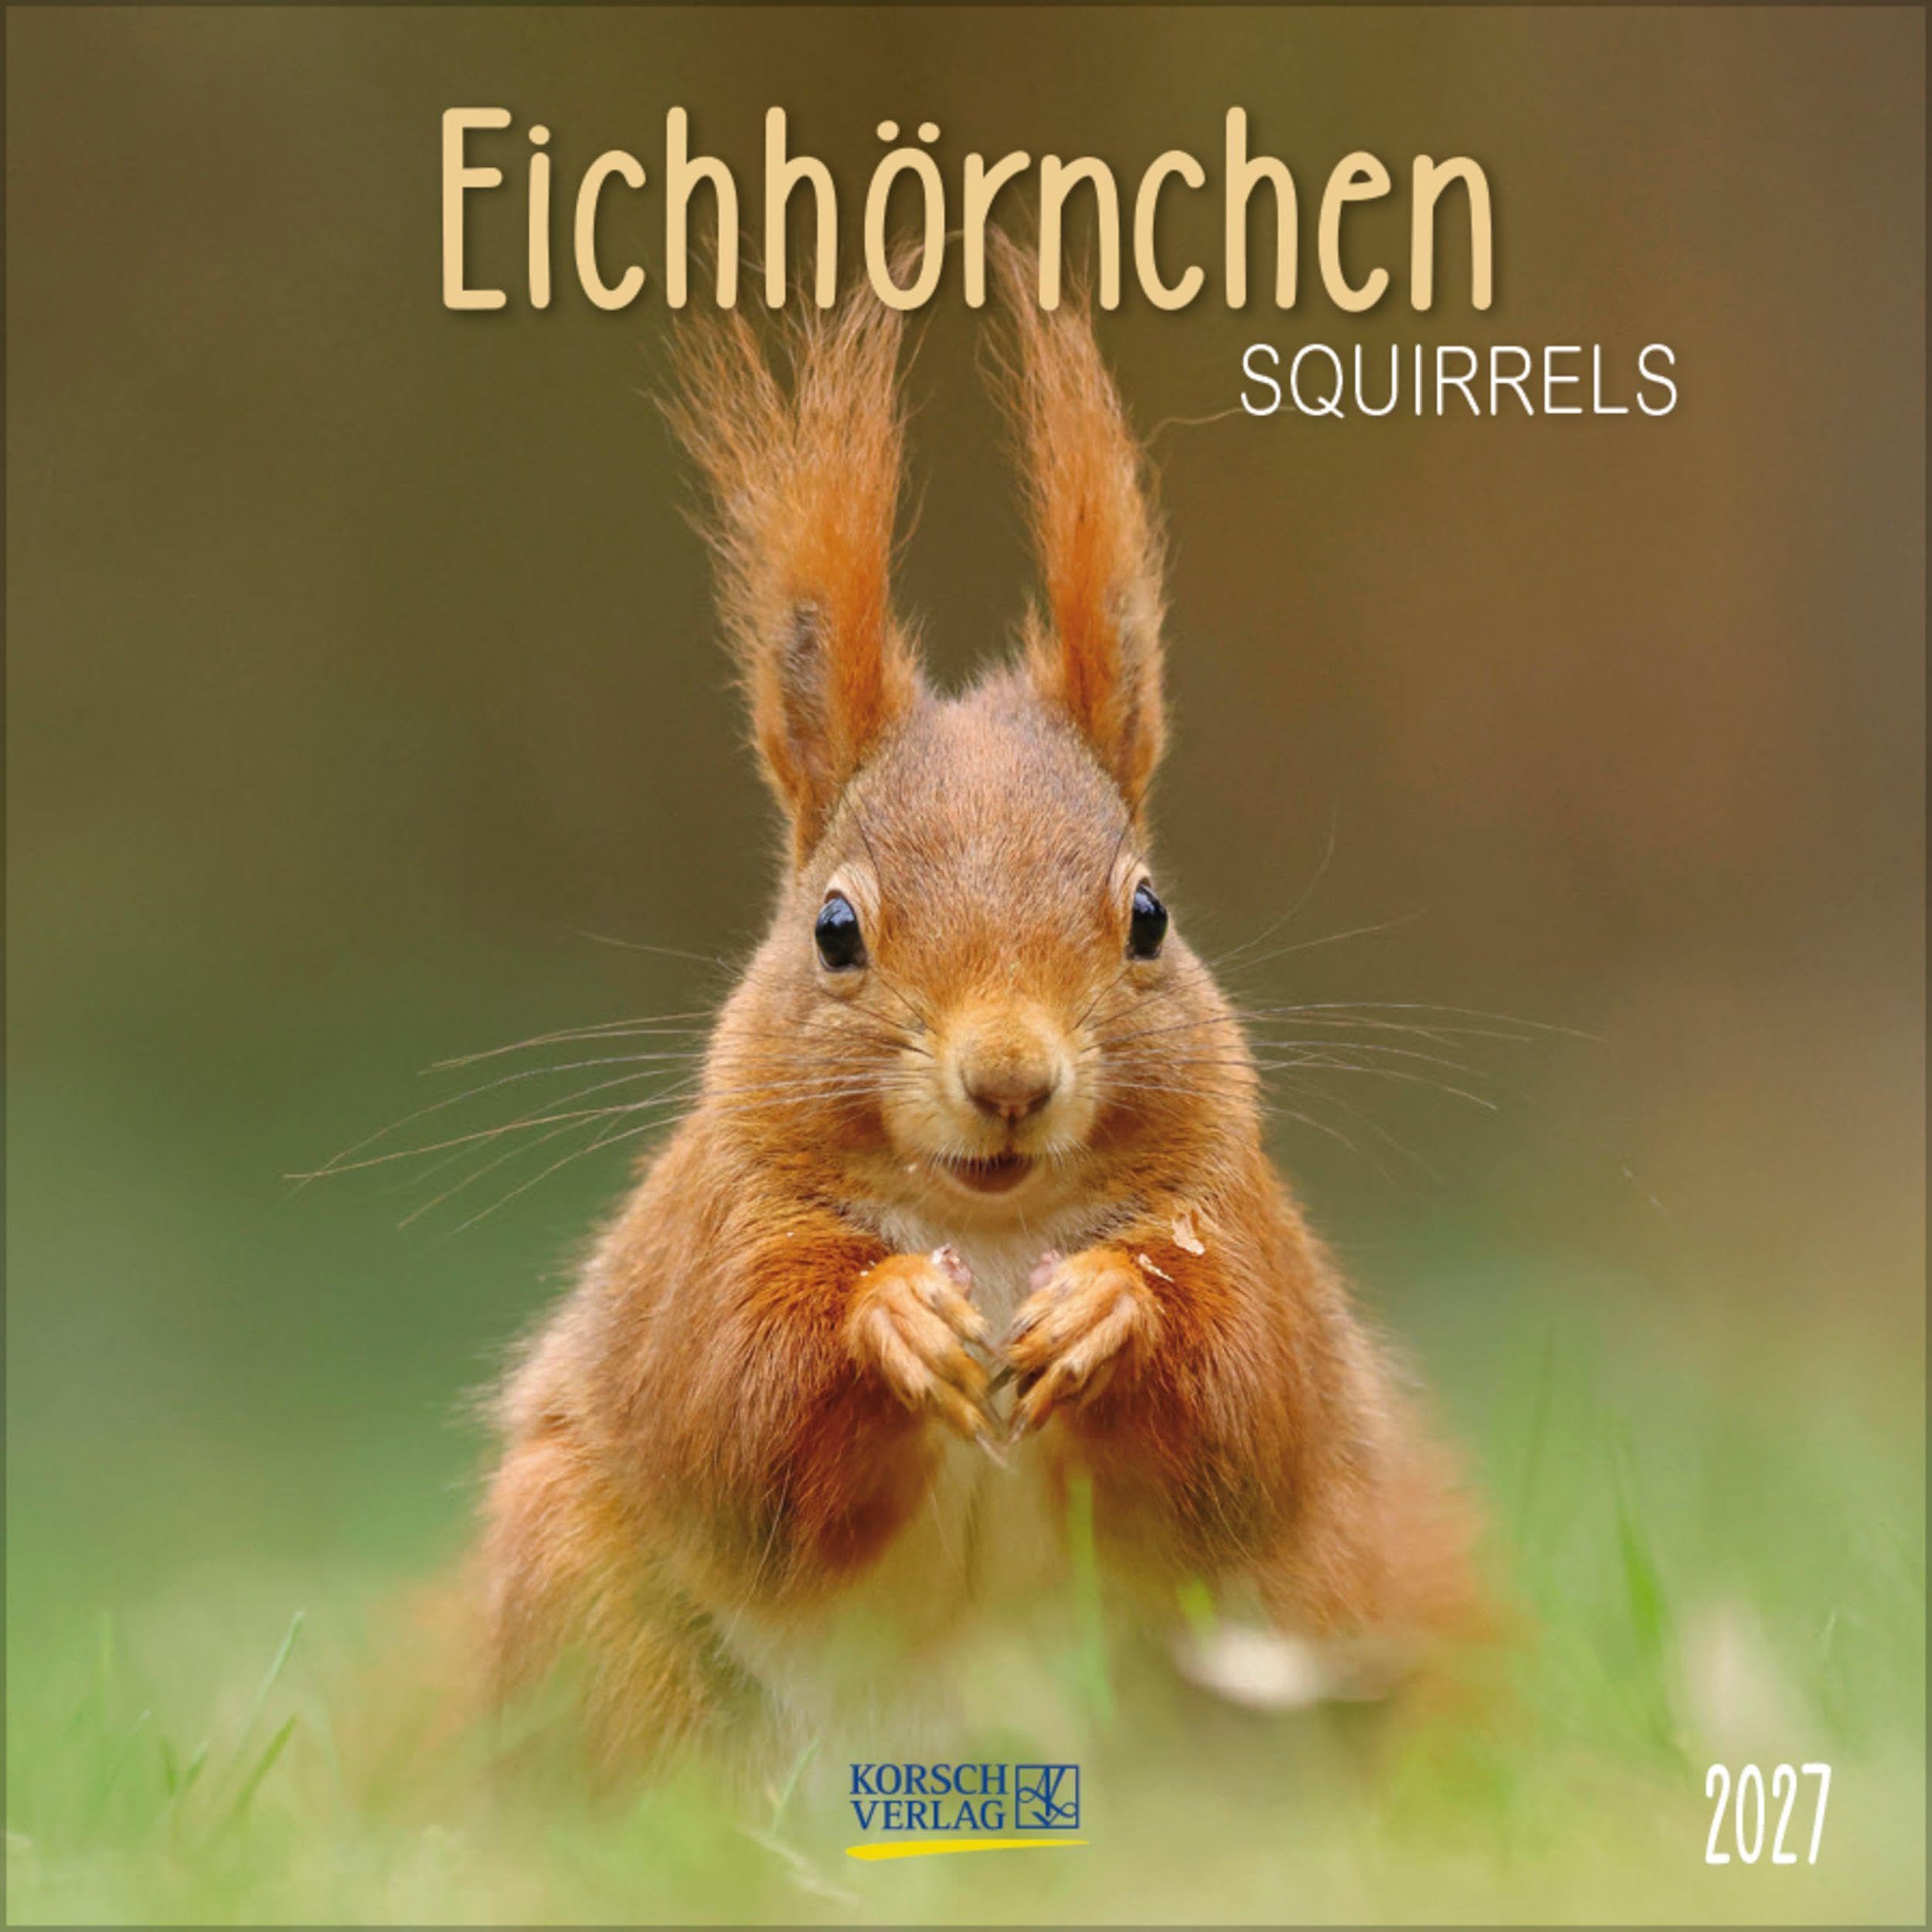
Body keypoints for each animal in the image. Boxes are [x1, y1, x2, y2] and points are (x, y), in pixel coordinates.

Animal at [475, 245, 1488, 1780]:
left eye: (1149, 917)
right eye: (834, 931)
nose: (1010, 1079)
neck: (994, 1233)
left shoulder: (1247, 1233)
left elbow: (1244, 1398)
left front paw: (1110, 1310)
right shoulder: (705, 1242)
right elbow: (733, 1401)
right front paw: (889, 1317)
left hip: (1325, 1595)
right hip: (581, 1582)